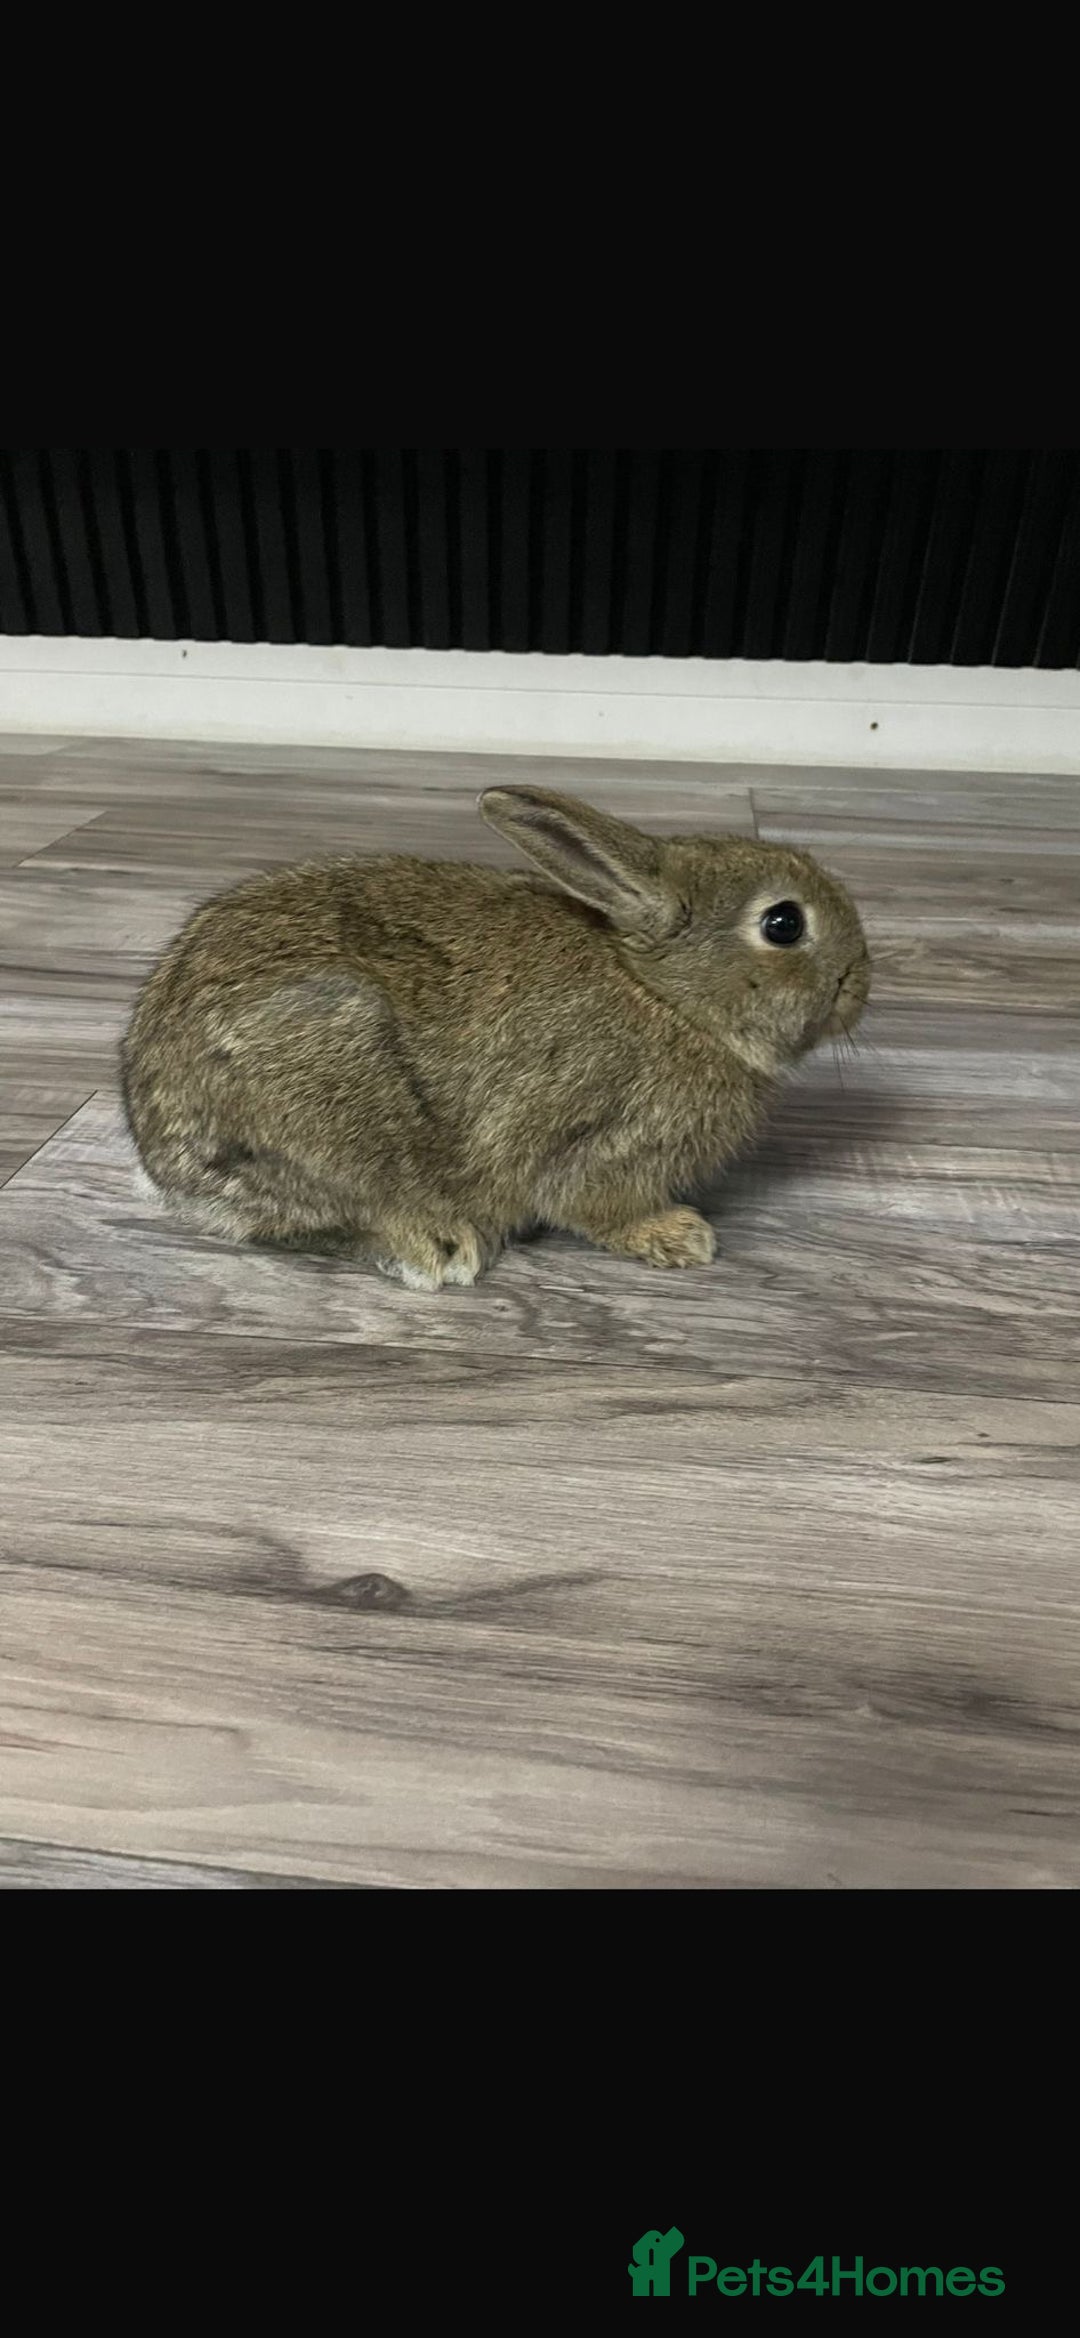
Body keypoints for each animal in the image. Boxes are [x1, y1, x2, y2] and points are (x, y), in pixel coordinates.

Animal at [120, 783, 871, 1290]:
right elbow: (593, 1207)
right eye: (783, 924)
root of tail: (160, 1157)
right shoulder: (604, 1143)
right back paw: (439, 1248)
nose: (860, 982)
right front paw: (680, 1237)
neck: (665, 994)